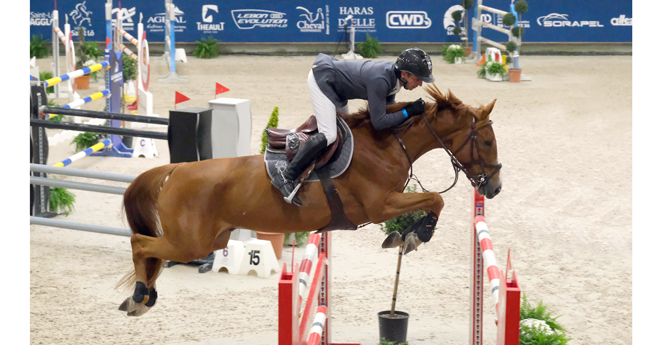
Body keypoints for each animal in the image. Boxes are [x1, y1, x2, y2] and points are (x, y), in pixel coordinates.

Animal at [117, 83, 500, 314]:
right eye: (486, 142)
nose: (494, 187)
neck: (387, 145)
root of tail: (176, 169)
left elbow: (432, 202)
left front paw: (406, 237)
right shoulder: (381, 206)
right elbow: (436, 199)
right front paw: (416, 237)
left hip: (211, 240)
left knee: (150, 250)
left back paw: (142, 298)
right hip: (190, 243)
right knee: (140, 243)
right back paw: (139, 296)